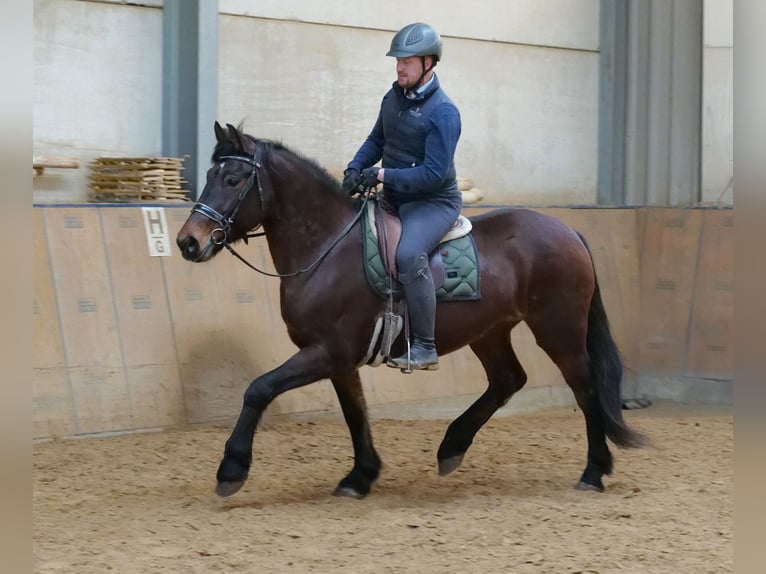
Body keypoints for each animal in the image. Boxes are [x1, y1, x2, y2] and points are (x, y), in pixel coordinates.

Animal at [176, 121, 648, 500]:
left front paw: (231, 470)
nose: (188, 242)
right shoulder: (339, 359)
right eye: (210, 175)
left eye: (233, 178)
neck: (328, 246)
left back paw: (593, 472)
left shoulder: (327, 351)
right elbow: (355, 414)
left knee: (585, 388)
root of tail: (567, 230)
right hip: (490, 331)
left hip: (558, 330)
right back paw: (452, 447)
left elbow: (259, 389)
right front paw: (360, 477)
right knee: (508, 379)